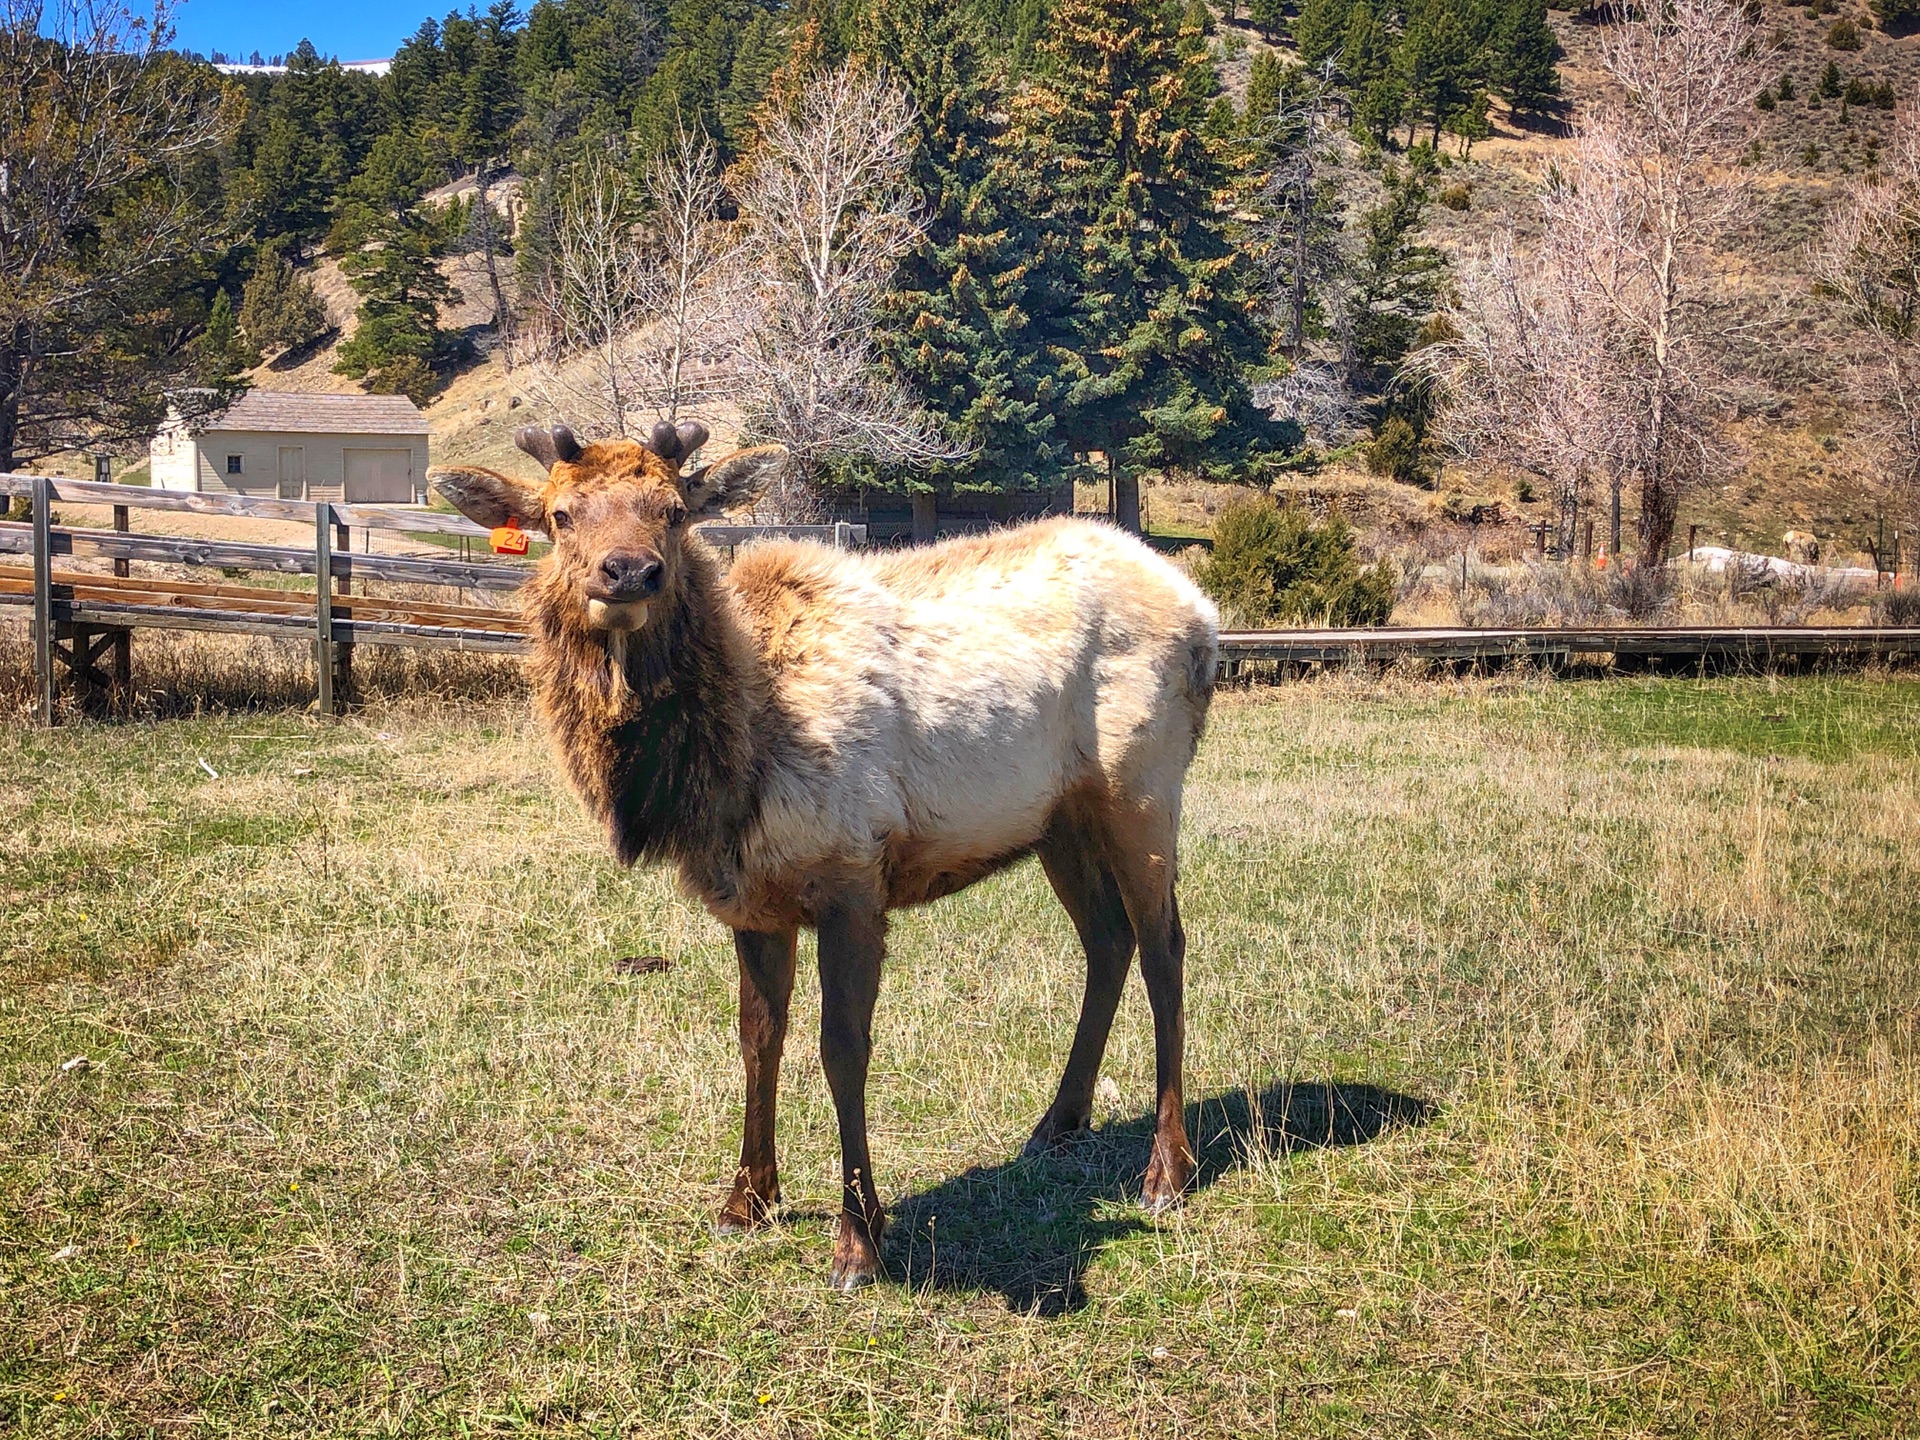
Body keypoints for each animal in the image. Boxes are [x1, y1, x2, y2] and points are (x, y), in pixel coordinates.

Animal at [432, 422, 1213, 1290]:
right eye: (560, 516)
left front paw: (859, 1238)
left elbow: (843, 1049)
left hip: (1141, 787)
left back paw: (1168, 1168)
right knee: (1106, 942)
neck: (723, 763)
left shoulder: (853, 878)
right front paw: (747, 1199)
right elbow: (756, 1038)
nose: (630, 571)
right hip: (1059, 821)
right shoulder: (750, 900)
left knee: (1164, 946)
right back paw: (1059, 1121)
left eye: (676, 511)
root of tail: (1205, 613)